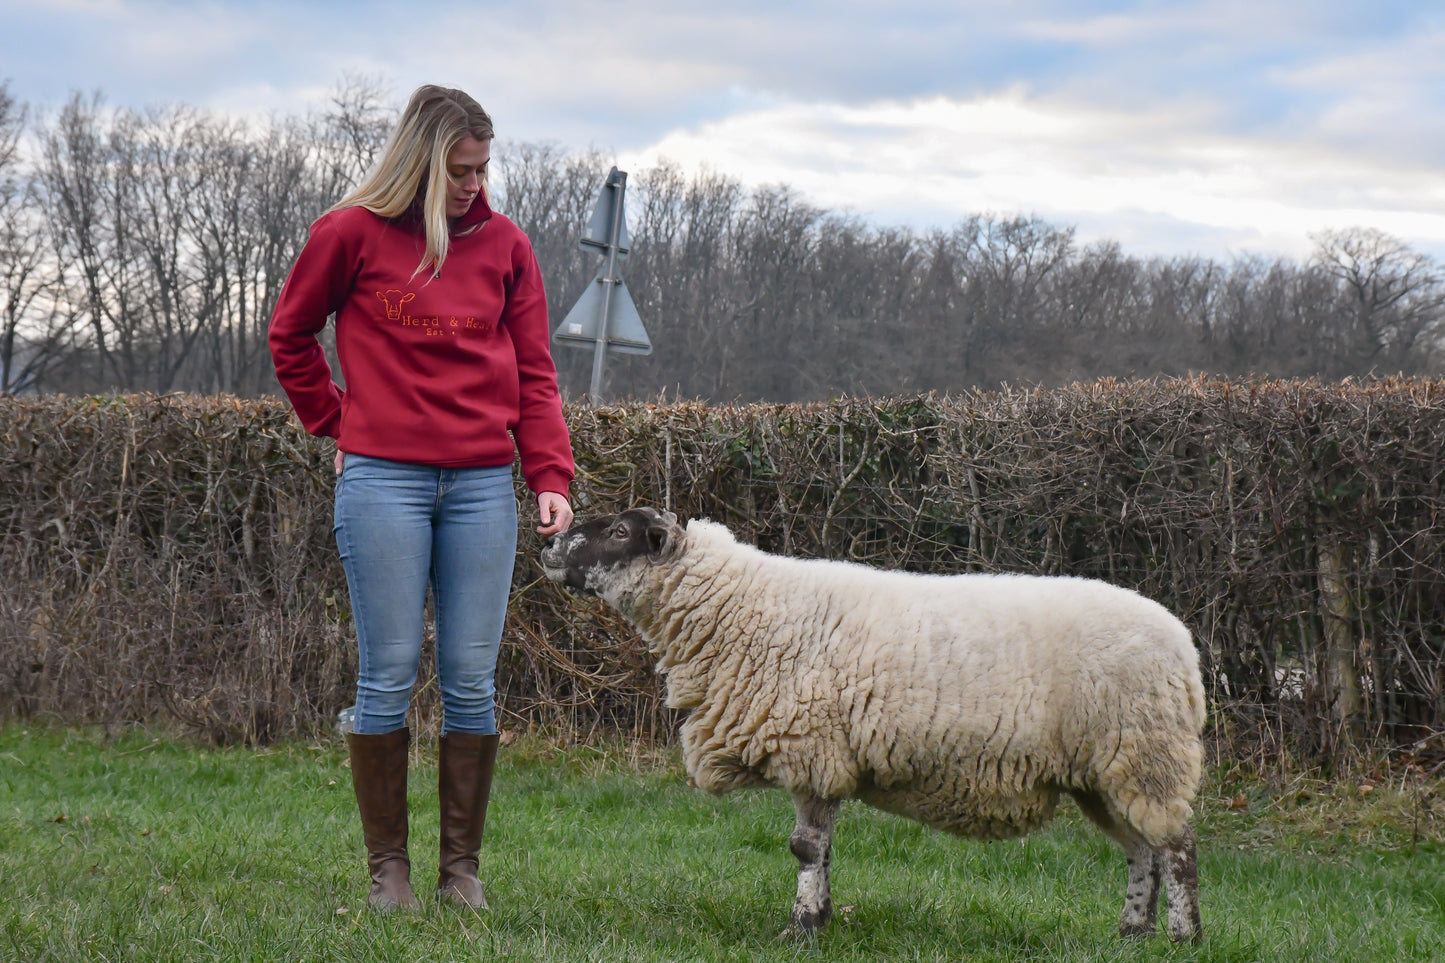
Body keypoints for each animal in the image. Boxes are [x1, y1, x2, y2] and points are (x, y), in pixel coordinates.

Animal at [543, 506, 1208, 942]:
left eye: (620, 532)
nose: (549, 547)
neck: (739, 606)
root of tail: (1184, 648)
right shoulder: (824, 755)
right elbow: (823, 849)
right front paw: (821, 917)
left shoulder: (810, 746)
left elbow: (805, 846)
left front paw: (800, 930)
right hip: (1106, 773)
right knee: (1141, 850)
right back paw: (1132, 932)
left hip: (1147, 756)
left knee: (1177, 849)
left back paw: (1183, 937)